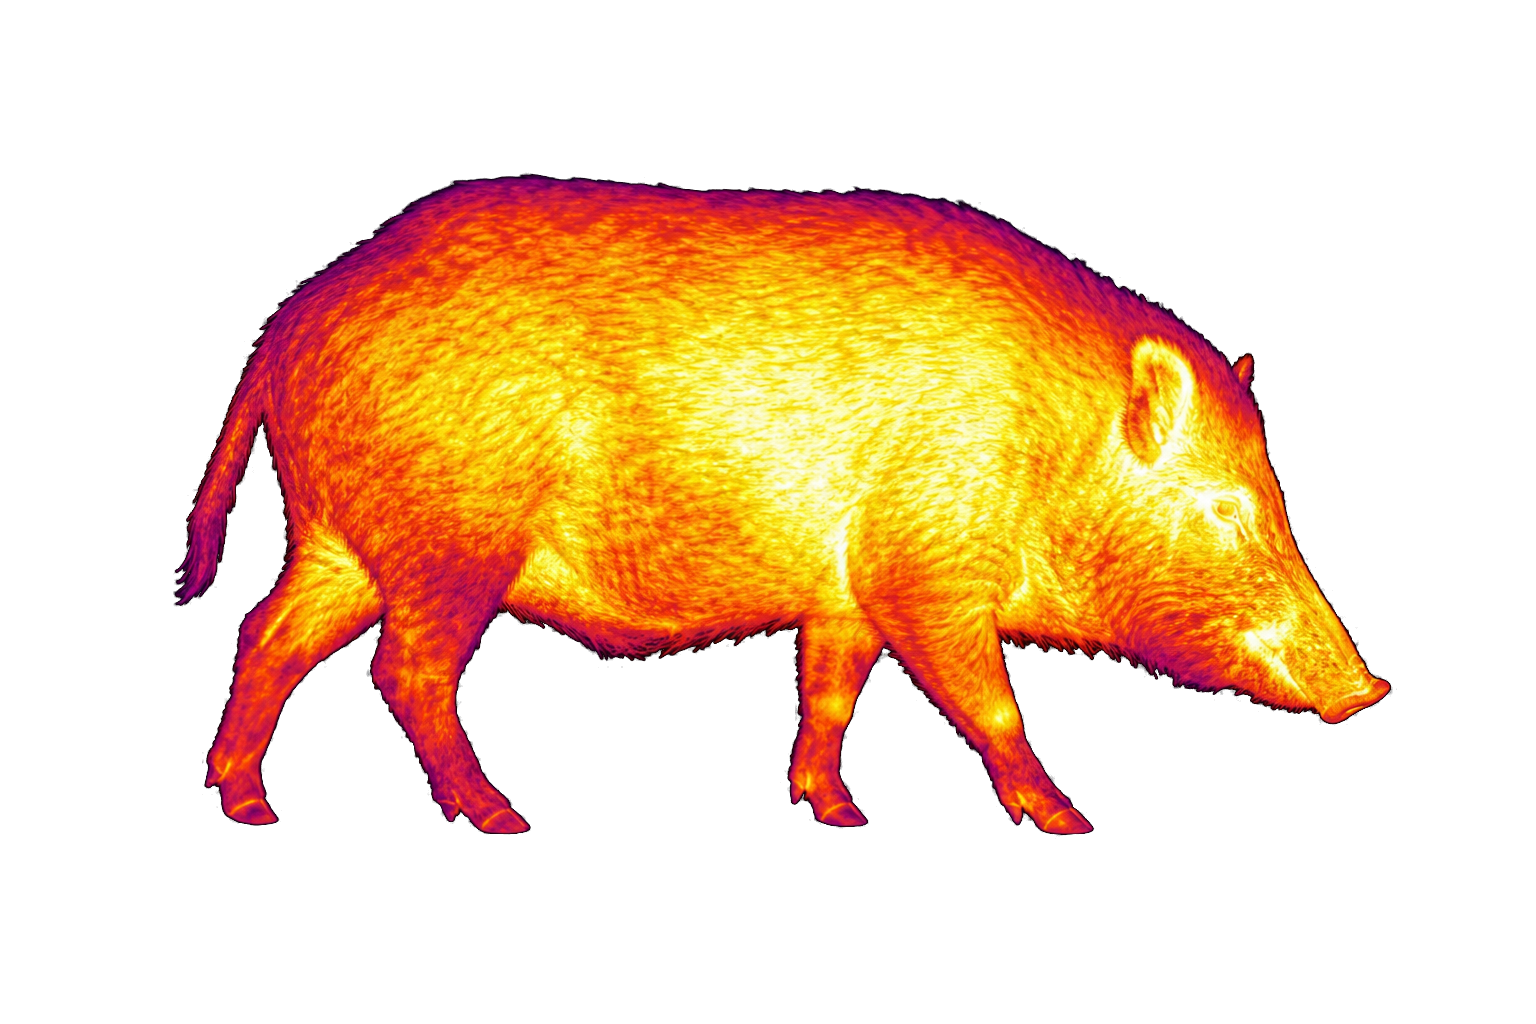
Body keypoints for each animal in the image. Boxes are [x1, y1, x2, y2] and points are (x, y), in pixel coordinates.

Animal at [179, 178, 1389, 833]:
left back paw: (246, 803)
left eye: (1273, 495)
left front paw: (838, 811)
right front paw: (1071, 821)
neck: (1042, 446)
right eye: (1225, 509)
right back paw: (501, 816)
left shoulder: (844, 590)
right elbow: (992, 706)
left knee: (264, 635)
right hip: (451, 542)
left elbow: (830, 697)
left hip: (344, 542)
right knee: (406, 671)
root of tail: (288, 324)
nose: (1368, 689)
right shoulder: (920, 566)